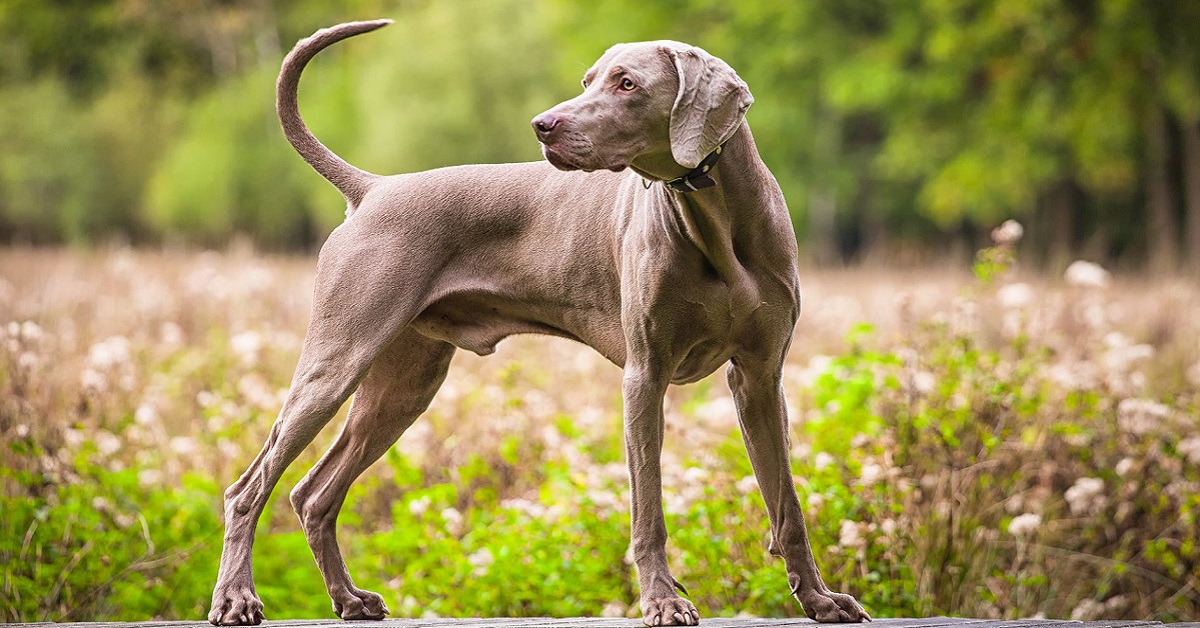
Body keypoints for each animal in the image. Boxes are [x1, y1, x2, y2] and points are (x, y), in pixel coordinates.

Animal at [208, 18, 873, 624]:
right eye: (588, 80)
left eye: (627, 83)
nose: (542, 125)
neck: (715, 215)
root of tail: (373, 188)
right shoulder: (645, 375)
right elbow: (649, 510)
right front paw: (662, 601)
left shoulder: (759, 376)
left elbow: (787, 504)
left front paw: (821, 601)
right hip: (337, 359)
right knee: (249, 489)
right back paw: (237, 599)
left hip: (403, 385)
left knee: (313, 494)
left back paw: (349, 599)